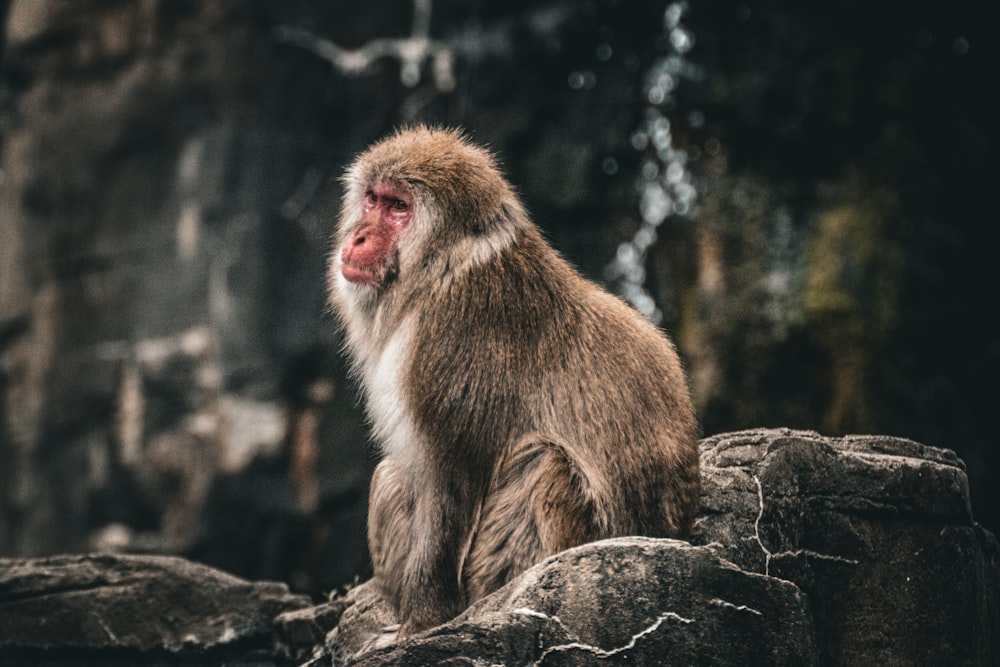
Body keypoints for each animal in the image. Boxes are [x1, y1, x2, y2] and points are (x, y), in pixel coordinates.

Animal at [328, 125, 696, 636]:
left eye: (399, 207)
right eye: (372, 199)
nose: (359, 236)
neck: (440, 270)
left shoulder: (449, 338)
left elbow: (450, 478)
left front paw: (423, 621)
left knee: (544, 463)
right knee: (392, 476)